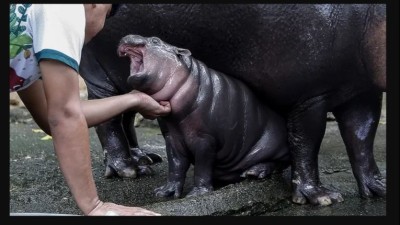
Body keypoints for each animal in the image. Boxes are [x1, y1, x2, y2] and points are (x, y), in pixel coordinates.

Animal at [117, 34, 290, 198]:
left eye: (155, 40)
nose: (126, 36)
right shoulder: (171, 137)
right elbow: (175, 165)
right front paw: (165, 192)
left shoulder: (205, 139)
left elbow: (202, 166)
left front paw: (197, 193)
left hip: (273, 145)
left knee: (280, 163)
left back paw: (253, 172)